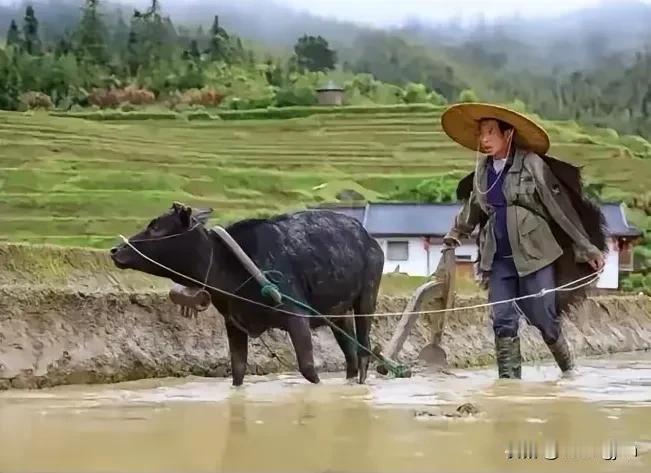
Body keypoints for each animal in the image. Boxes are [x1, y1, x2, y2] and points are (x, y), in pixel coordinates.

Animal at [109, 201, 384, 386]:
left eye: (156, 227)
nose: (115, 250)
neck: (229, 265)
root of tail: (369, 239)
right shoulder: (234, 324)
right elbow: (238, 370)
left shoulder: (297, 317)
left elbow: (308, 369)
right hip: (339, 313)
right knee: (350, 353)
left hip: (366, 300)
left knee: (364, 351)